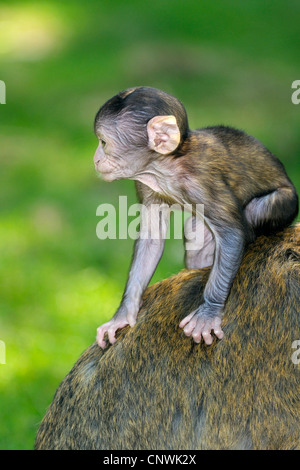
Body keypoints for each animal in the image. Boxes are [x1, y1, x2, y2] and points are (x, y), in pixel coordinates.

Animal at [93, 86, 298, 346]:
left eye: (103, 142)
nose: (95, 159)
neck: (167, 166)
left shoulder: (203, 182)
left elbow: (232, 235)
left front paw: (209, 312)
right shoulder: (146, 184)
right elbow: (152, 239)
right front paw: (123, 314)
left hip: (287, 202)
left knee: (250, 216)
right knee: (196, 238)